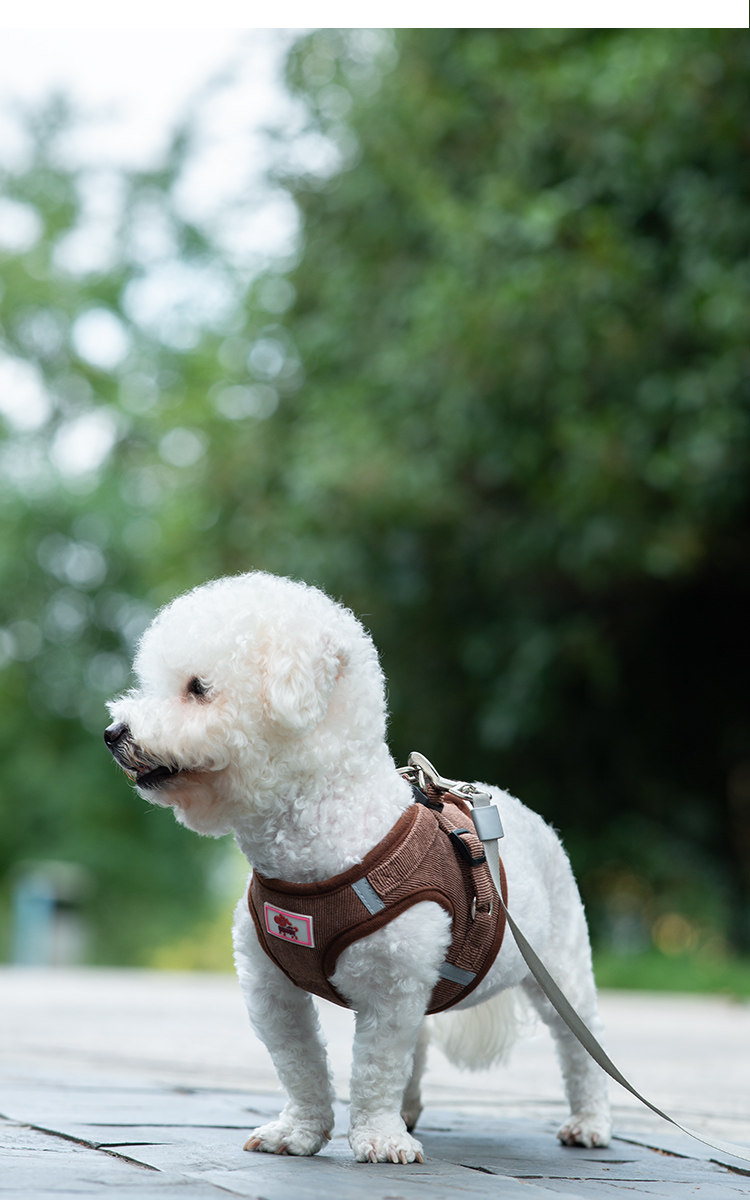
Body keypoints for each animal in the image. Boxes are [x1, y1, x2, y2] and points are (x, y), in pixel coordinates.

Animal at [104, 571, 611, 1164]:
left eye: (197, 688)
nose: (113, 732)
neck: (325, 835)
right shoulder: (273, 990)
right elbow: (299, 1063)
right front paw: (299, 1131)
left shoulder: (391, 989)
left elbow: (376, 1066)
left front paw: (377, 1137)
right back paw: (409, 1112)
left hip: (561, 969)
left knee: (579, 1044)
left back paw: (589, 1121)